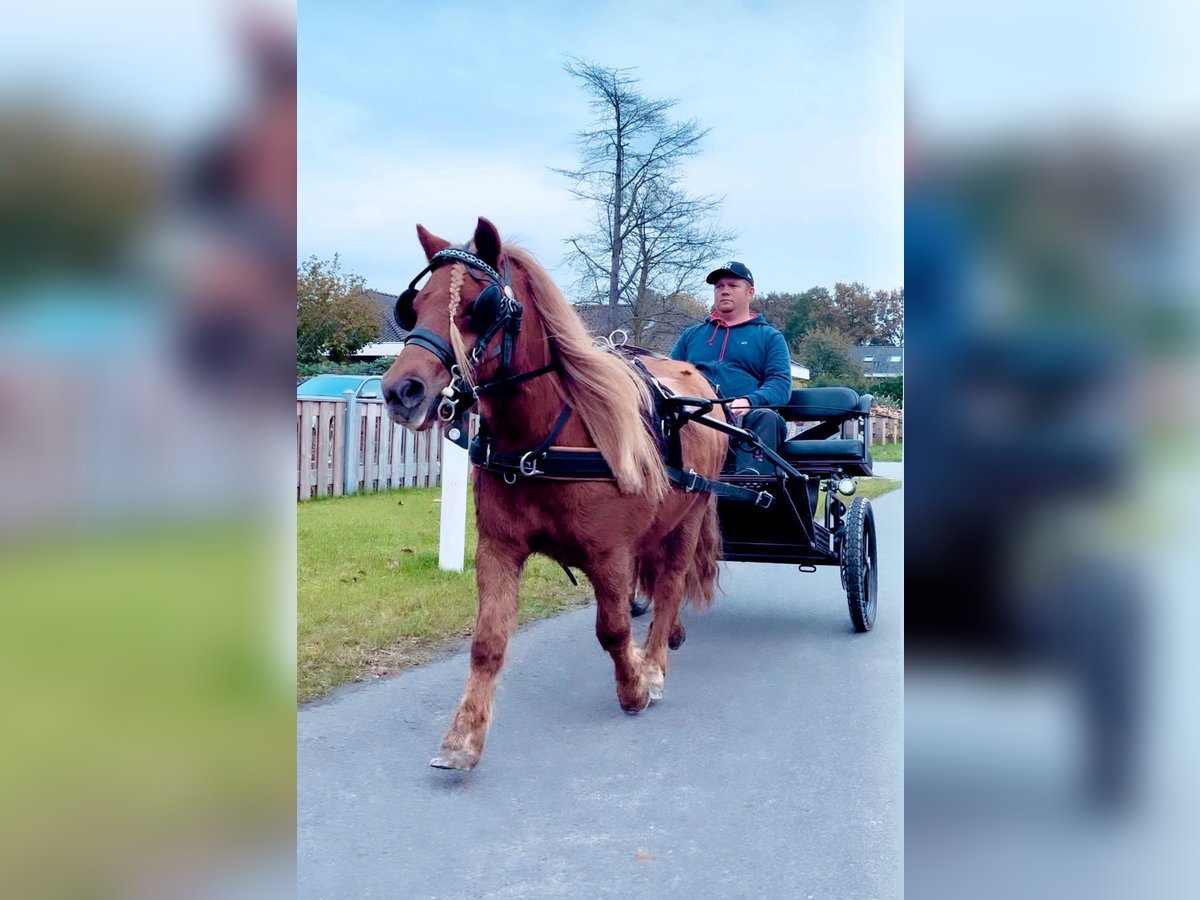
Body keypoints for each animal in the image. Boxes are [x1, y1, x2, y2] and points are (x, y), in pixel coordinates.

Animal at [381, 220, 720, 777]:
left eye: (480, 306)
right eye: (415, 303)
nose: (400, 390)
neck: (541, 440)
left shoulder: (610, 555)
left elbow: (612, 630)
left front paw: (634, 685)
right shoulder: (498, 549)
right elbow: (487, 642)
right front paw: (464, 736)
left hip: (686, 520)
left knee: (670, 586)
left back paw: (655, 664)